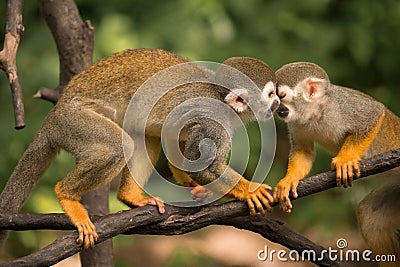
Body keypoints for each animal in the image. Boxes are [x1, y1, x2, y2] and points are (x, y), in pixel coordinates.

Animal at [0, 48, 280, 249]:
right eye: (269, 95)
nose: (278, 103)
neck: (223, 100)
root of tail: (53, 116)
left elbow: (178, 140)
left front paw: (192, 185)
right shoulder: (214, 119)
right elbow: (203, 164)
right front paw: (250, 190)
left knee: (144, 135)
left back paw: (130, 197)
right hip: (74, 122)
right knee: (118, 145)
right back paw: (67, 196)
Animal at [274, 62, 400, 266]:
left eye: (282, 96)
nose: (277, 109)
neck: (317, 112)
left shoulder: (342, 105)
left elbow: (374, 112)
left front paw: (346, 159)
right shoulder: (296, 123)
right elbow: (303, 151)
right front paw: (289, 180)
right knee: (369, 217)